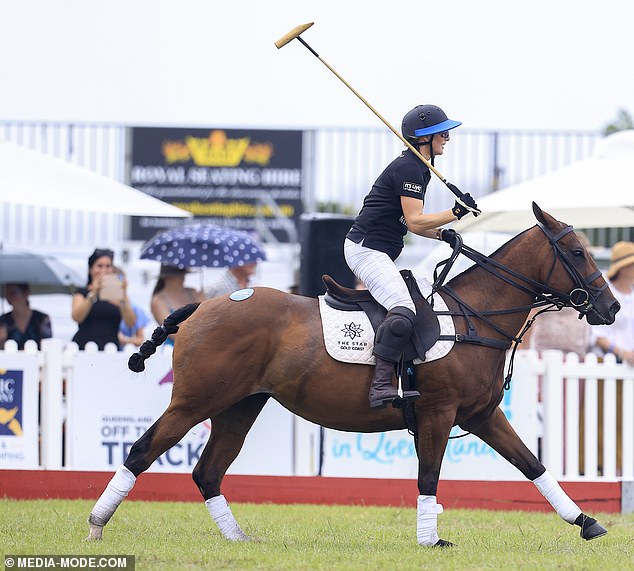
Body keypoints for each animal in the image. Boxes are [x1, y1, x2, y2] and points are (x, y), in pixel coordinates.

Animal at [87, 203, 616, 548]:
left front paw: (586, 521)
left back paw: (238, 539)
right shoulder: (439, 413)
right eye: (576, 251)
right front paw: (430, 540)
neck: (472, 317)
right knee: (141, 451)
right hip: (194, 401)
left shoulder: (482, 415)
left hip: (241, 405)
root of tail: (203, 305)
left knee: (208, 470)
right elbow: (429, 475)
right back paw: (96, 524)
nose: (610, 308)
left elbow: (533, 465)